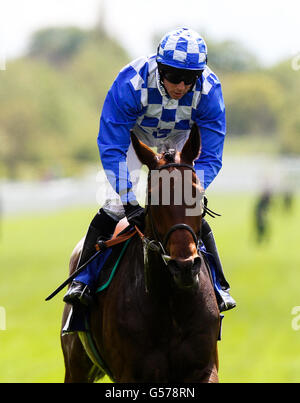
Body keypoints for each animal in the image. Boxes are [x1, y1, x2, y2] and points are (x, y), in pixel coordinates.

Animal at [61, 124, 220, 384]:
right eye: (154, 195)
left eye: (196, 193)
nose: (184, 266)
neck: (170, 305)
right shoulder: (131, 374)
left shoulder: (204, 368)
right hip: (76, 365)